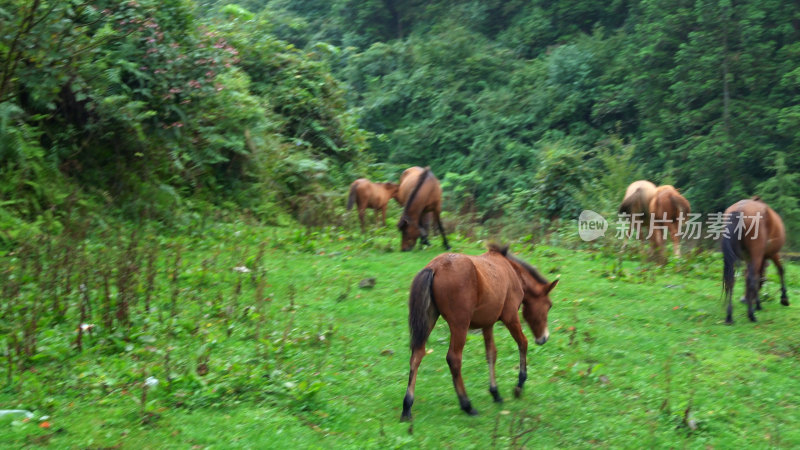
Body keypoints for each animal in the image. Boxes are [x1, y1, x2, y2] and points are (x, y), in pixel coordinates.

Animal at [400, 244, 556, 420]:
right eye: (549, 305)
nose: (544, 338)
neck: (513, 272)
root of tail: (435, 267)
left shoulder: (487, 324)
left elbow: (491, 354)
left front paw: (495, 393)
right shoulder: (510, 317)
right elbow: (523, 343)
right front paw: (519, 384)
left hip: (429, 319)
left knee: (417, 355)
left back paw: (407, 406)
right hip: (460, 324)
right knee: (454, 359)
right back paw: (467, 405)